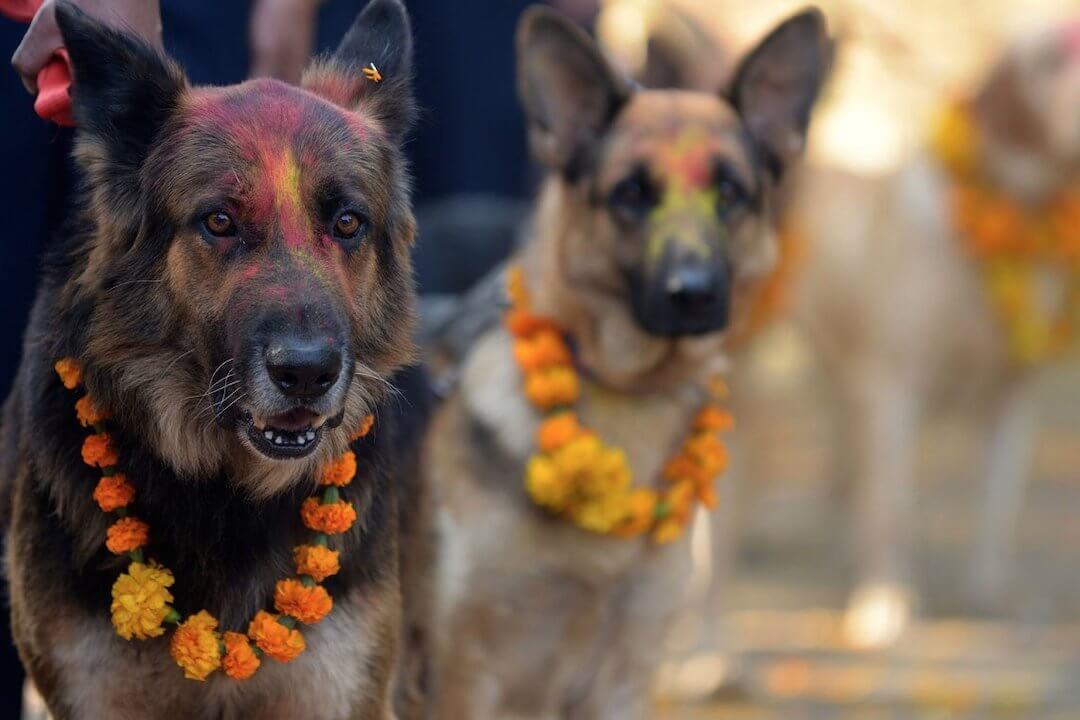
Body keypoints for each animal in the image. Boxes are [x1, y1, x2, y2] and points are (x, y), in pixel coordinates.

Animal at [421, 7, 825, 720]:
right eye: (631, 193)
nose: (693, 295)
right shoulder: (460, 678)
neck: (624, 390)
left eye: (730, 191)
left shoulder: (623, 675)